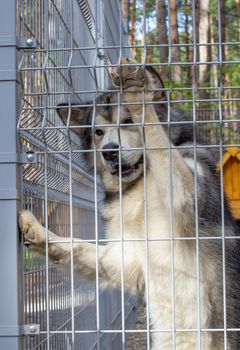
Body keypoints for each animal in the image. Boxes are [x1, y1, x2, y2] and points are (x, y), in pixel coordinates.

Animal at [19, 58, 240, 348]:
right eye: (99, 132)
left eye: (128, 122)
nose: (109, 152)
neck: (141, 184)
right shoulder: (124, 258)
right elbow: (75, 246)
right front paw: (38, 232)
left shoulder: (187, 194)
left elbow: (161, 143)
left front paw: (137, 94)